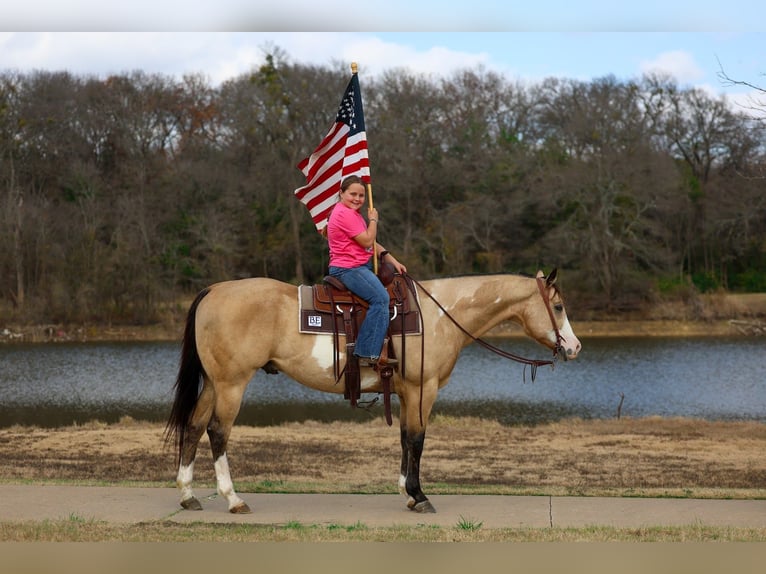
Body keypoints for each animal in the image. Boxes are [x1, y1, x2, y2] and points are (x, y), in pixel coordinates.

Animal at [165, 269, 581, 514]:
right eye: (559, 306)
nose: (575, 347)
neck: (440, 315)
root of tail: (213, 290)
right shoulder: (423, 388)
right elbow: (417, 439)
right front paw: (420, 496)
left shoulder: (405, 391)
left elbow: (405, 438)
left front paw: (406, 492)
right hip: (232, 383)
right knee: (218, 431)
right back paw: (233, 499)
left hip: (214, 383)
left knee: (194, 426)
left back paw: (187, 496)